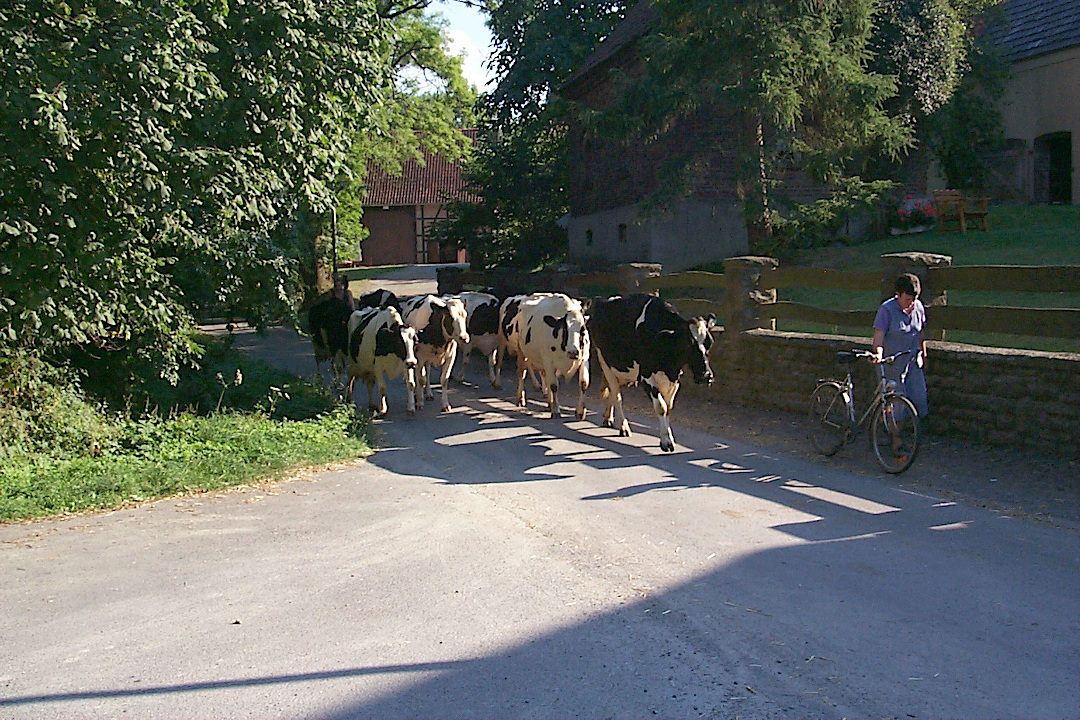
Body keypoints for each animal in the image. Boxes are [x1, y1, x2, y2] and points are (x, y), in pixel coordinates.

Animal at [505, 289, 591, 418]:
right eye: (564, 329)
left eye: (583, 329)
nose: (573, 352)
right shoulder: (548, 360)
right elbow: (554, 385)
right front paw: (555, 410)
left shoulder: (584, 358)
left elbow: (584, 383)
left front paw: (580, 412)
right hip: (521, 351)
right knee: (521, 372)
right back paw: (520, 398)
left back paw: (549, 402)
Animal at [587, 293, 712, 451]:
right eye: (688, 344)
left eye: (709, 343)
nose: (706, 376)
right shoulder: (646, 378)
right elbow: (661, 407)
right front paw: (666, 442)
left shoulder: (674, 379)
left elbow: (668, 407)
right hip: (605, 361)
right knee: (616, 394)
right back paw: (624, 427)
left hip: (620, 368)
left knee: (612, 390)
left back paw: (608, 418)